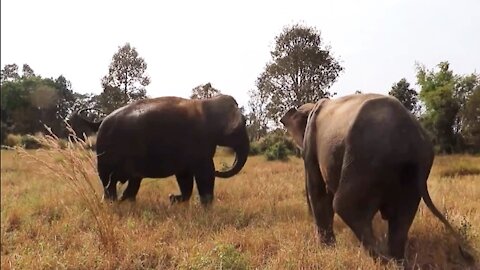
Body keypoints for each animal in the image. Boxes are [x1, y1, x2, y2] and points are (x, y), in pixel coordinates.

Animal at [75, 94, 249, 205]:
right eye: (239, 128)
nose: (220, 170)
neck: (208, 103)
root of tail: (100, 121)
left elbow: (185, 176)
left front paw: (174, 199)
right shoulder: (199, 142)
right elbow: (204, 172)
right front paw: (206, 206)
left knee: (131, 181)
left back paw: (125, 201)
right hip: (106, 153)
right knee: (109, 181)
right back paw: (112, 202)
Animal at [282, 93, 472, 264]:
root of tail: (411, 136)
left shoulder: (311, 143)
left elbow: (318, 190)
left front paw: (327, 249)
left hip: (364, 159)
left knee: (346, 205)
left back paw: (383, 260)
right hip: (409, 172)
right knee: (402, 215)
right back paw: (397, 261)